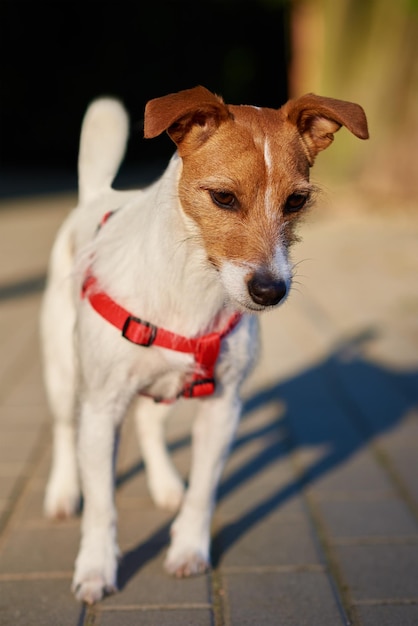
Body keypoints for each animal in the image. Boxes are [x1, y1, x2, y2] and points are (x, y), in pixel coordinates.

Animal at [38, 85, 366, 604]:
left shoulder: (223, 407)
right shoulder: (102, 409)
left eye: (296, 201)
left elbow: (204, 492)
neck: (190, 288)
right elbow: (103, 505)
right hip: (64, 374)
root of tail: (98, 195)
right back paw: (64, 492)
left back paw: (165, 484)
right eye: (223, 197)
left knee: (149, 423)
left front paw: (188, 548)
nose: (270, 291)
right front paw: (95, 568)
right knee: (65, 430)